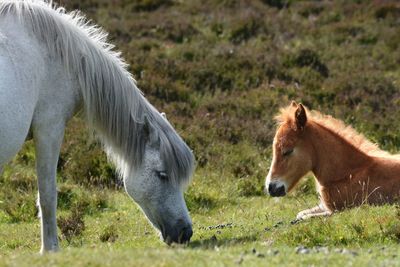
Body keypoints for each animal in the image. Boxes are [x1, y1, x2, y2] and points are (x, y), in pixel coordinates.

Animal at [266, 101, 400, 221]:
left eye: (287, 151)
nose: (271, 188)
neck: (347, 173)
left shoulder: (338, 210)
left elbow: (304, 217)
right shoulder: (324, 206)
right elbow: (300, 214)